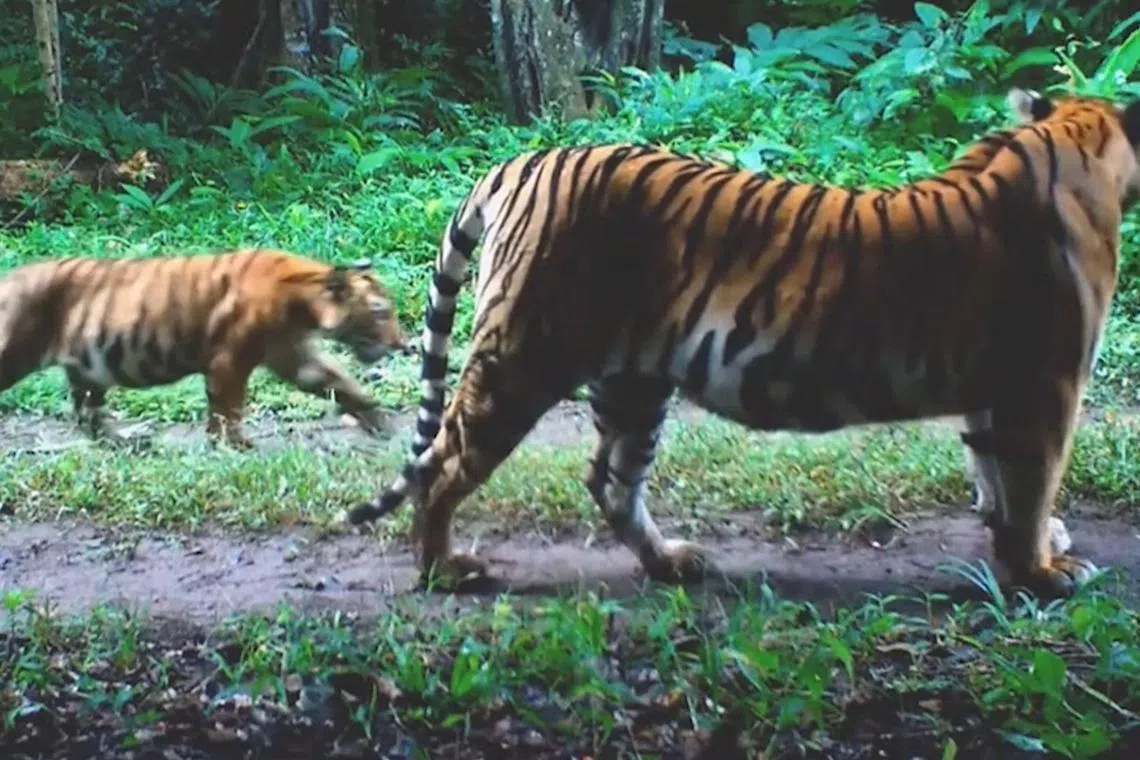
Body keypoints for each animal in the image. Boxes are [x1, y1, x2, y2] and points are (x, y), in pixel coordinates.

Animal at [0, 247, 405, 449]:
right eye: (380, 312)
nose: (402, 343)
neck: (304, 306)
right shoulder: (231, 359)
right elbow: (228, 407)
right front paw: (232, 445)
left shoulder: (292, 354)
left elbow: (340, 383)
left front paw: (380, 421)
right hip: (15, 353)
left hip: (90, 368)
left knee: (87, 413)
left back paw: (126, 442)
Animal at [347, 88, 1140, 598]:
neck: (1073, 140)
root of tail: (524, 161)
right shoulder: (1047, 385)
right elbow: (1032, 482)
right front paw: (1043, 572)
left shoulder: (993, 389)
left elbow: (995, 477)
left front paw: (1024, 548)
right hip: (522, 357)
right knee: (444, 465)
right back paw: (445, 569)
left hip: (634, 381)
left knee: (610, 480)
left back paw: (670, 562)